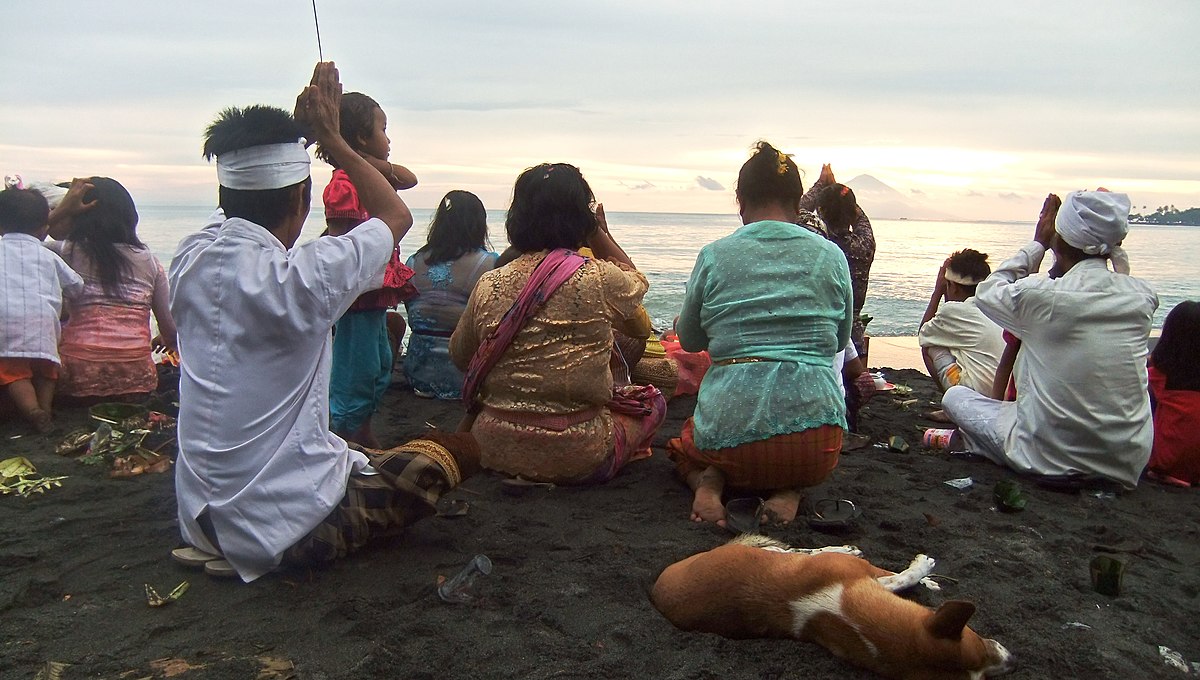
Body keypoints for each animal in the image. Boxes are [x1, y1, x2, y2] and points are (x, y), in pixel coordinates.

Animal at [648, 537, 1012, 680]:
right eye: (980, 638)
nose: (1013, 661)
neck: (840, 613)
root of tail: (655, 591)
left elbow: (893, 579)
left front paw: (926, 582)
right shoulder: (859, 573)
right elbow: (897, 577)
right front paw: (922, 569)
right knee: (801, 549)